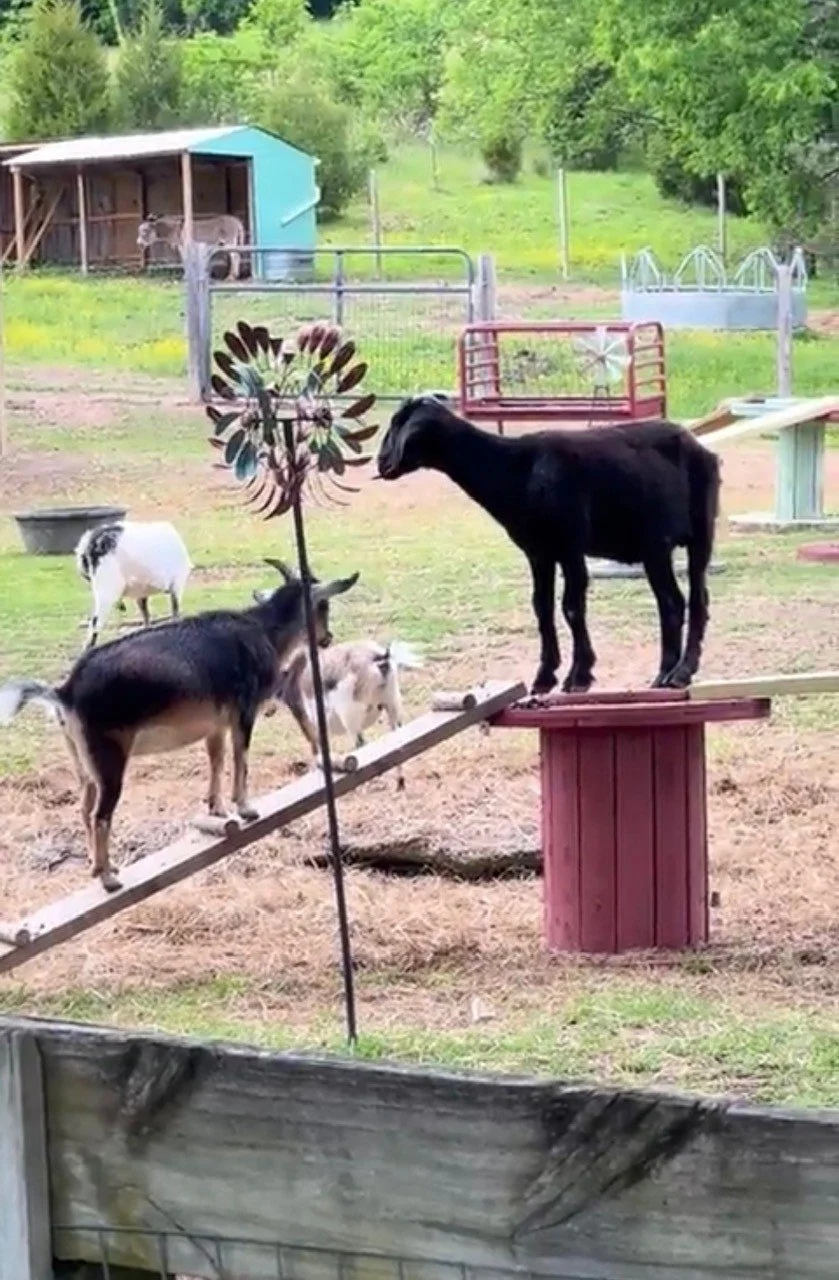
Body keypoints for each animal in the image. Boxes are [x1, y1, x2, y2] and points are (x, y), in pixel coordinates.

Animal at [0, 560, 358, 892]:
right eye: (323, 605)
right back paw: (109, 879)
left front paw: (217, 809)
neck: (263, 631)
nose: (327, 639)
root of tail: (65, 692)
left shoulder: (216, 724)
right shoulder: (244, 710)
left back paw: (99, 867)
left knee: (84, 807)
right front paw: (245, 808)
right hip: (108, 756)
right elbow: (241, 757)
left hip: (82, 760)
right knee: (100, 814)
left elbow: (216, 759)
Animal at [75, 520, 192, 649]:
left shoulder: (141, 593)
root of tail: (90, 543)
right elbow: (175, 612)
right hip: (107, 587)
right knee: (96, 621)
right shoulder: (176, 585)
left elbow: (145, 614)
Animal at [377, 396, 720, 695]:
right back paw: (665, 673)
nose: (381, 462)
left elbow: (571, 607)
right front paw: (544, 676)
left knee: (693, 600)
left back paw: (680, 673)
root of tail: (699, 447)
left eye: (399, 424)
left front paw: (578, 676)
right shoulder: (538, 551)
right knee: (672, 602)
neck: (515, 469)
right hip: (655, 548)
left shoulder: (569, 544)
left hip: (699, 531)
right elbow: (541, 607)